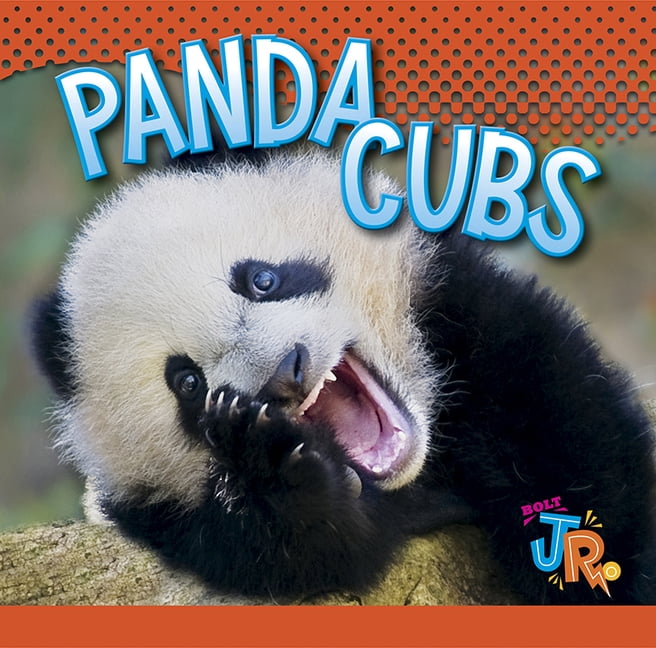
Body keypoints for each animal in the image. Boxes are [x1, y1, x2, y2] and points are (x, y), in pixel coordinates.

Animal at [30, 147, 656, 604]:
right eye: (186, 382)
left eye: (262, 280)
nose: (284, 375)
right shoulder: (161, 517)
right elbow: (304, 555)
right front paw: (270, 468)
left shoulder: (466, 315)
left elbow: (572, 439)